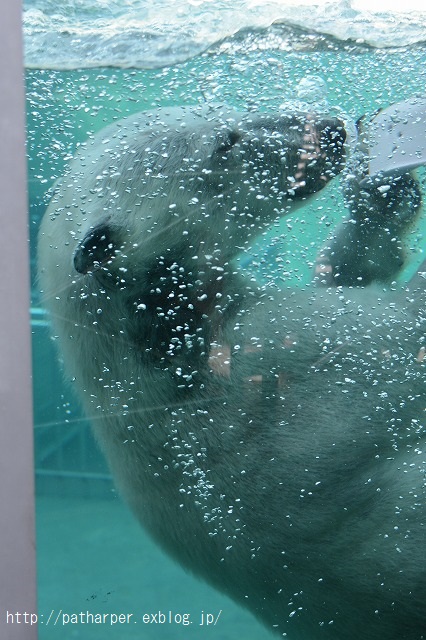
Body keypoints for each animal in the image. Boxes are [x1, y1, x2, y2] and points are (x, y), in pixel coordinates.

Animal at [38, 105, 424, 640]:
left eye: (227, 110)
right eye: (225, 143)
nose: (329, 129)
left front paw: (382, 197)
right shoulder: (279, 375)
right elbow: (396, 337)